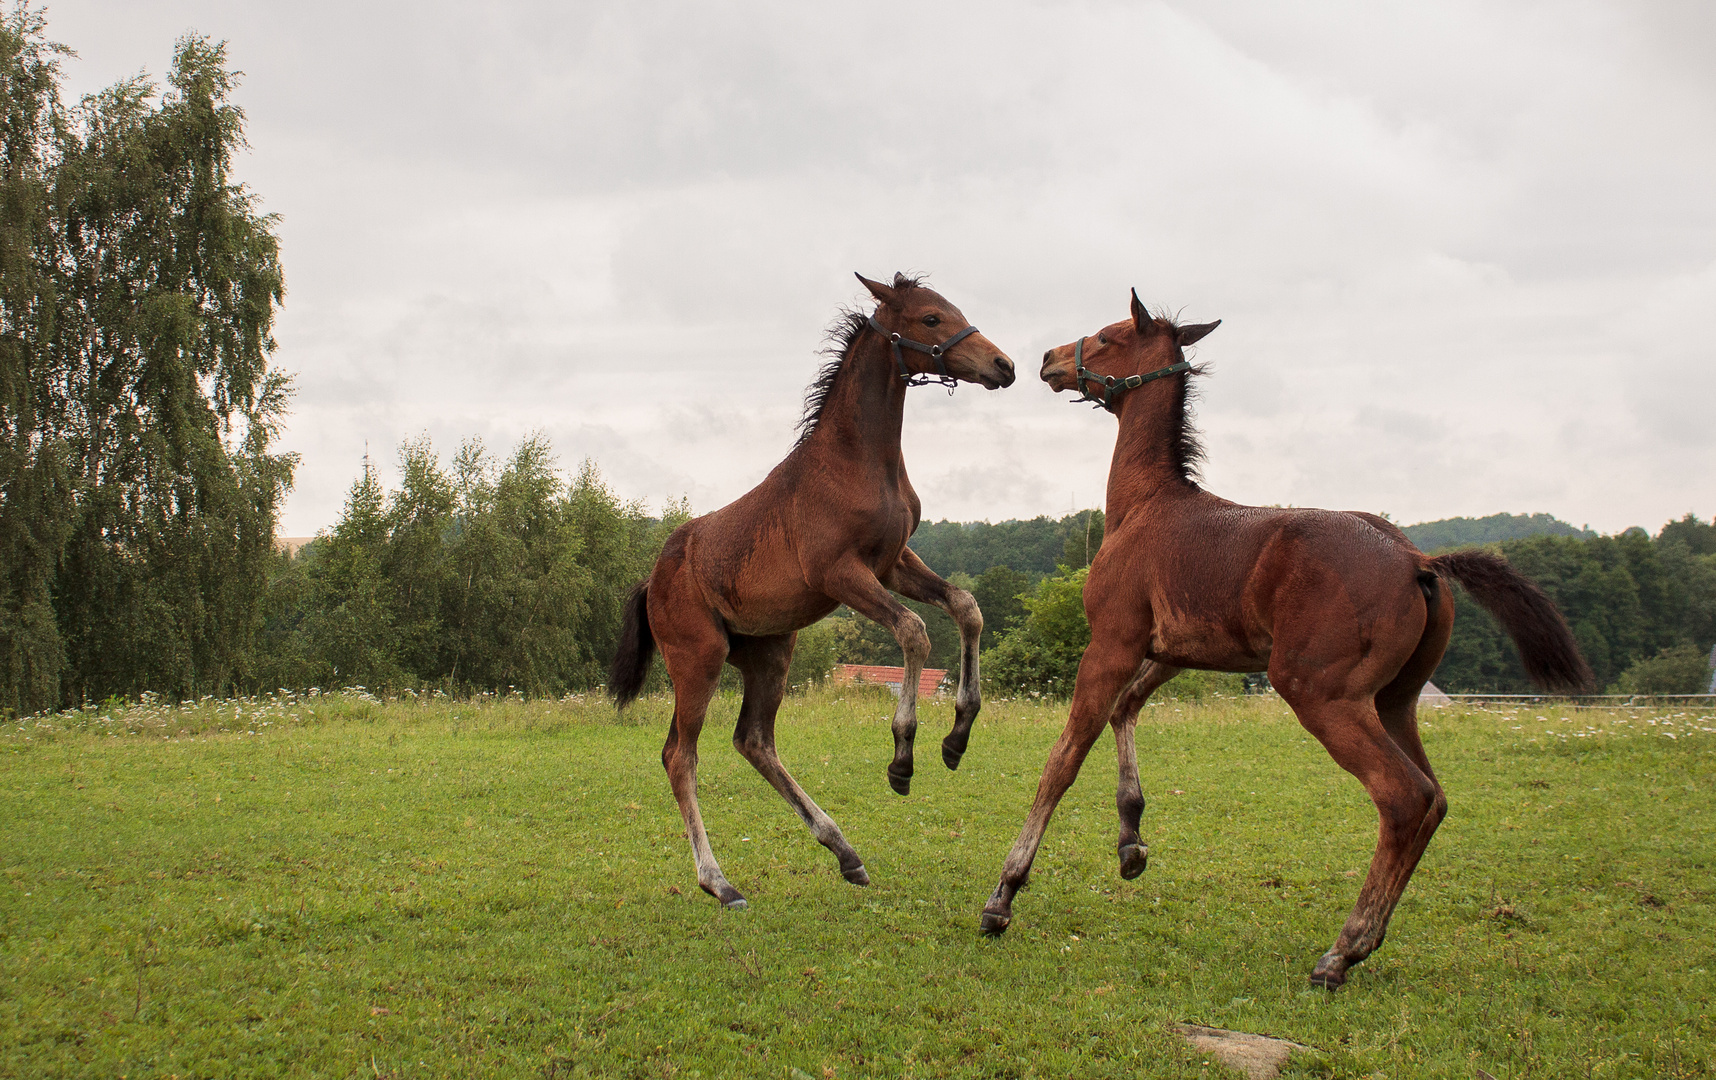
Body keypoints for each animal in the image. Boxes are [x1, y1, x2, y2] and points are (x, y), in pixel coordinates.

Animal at [610, 273, 1009, 906]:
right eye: (929, 318)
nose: (1003, 365)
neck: (858, 461)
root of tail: (652, 580)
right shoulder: (842, 574)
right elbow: (914, 632)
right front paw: (902, 758)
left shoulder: (893, 563)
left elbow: (965, 608)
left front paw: (958, 736)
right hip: (698, 659)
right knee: (680, 755)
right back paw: (719, 882)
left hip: (771, 653)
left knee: (754, 741)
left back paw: (844, 851)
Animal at [981, 291, 1592, 988]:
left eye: (1108, 335)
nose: (1049, 359)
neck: (1145, 505)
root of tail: (1420, 560)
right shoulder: (1174, 652)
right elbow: (1126, 711)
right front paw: (1131, 840)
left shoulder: (1112, 642)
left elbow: (1064, 758)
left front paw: (1004, 894)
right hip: (1394, 701)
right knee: (1434, 799)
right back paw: (1366, 939)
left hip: (1319, 691)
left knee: (1404, 797)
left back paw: (1342, 951)